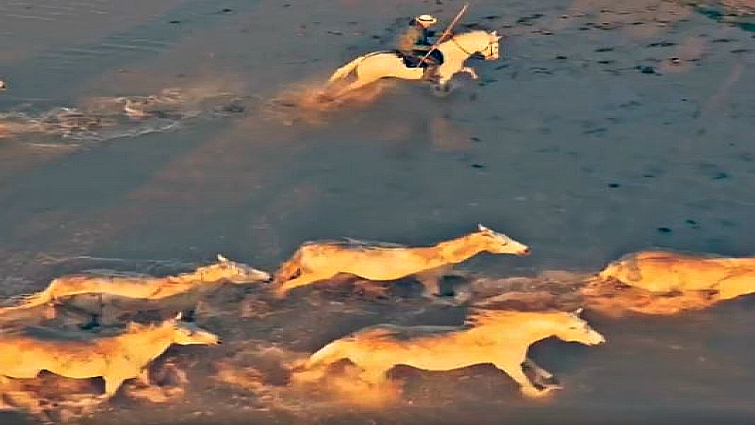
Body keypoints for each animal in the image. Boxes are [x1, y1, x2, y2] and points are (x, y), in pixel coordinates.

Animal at [0, 313, 220, 399]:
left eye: (195, 324)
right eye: (189, 333)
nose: (217, 340)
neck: (136, 349)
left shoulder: (141, 374)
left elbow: (150, 385)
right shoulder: (113, 380)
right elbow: (106, 396)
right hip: (25, 371)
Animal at [271, 224, 530, 299]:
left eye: (508, 238)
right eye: (503, 243)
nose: (525, 250)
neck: (440, 254)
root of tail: (303, 248)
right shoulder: (429, 278)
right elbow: (434, 296)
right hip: (317, 273)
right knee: (287, 283)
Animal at [293, 308, 605, 399]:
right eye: (582, 328)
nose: (601, 341)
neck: (507, 333)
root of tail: (354, 337)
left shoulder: (516, 357)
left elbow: (533, 365)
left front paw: (550, 379)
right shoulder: (506, 363)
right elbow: (523, 380)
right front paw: (539, 393)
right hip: (375, 369)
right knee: (362, 381)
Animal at [322, 29, 502, 98]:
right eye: (495, 46)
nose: (495, 58)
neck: (452, 53)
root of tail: (365, 58)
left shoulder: (456, 69)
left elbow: (468, 69)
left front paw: (475, 77)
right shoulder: (446, 75)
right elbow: (444, 83)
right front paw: (440, 91)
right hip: (364, 80)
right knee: (347, 89)